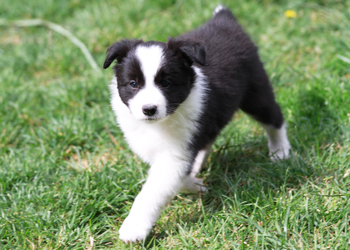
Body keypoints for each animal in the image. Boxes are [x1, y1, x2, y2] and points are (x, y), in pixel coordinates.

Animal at [103, 5, 290, 242]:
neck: (162, 122)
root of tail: (223, 20)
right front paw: (197, 185)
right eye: (133, 84)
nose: (149, 109)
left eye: (167, 83)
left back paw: (280, 151)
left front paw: (134, 227)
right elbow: (173, 177)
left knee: (274, 118)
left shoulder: (176, 154)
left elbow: (153, 190)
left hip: (256, 92)